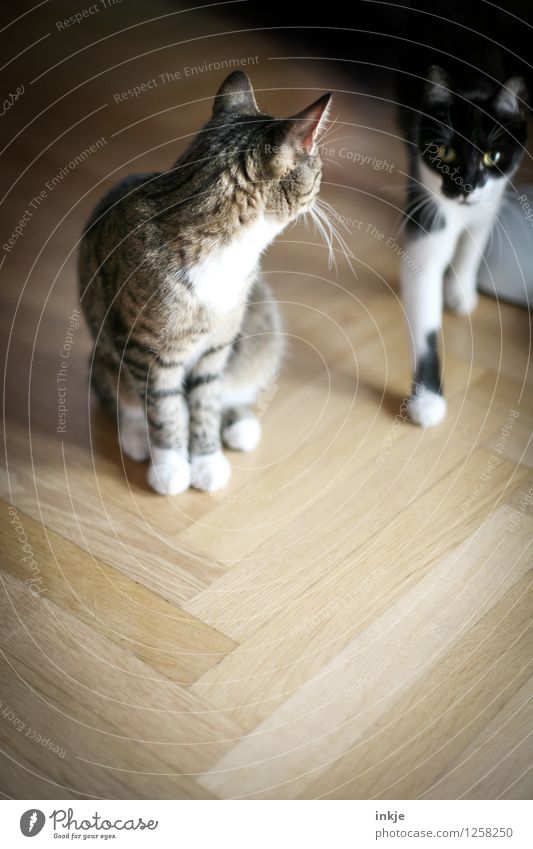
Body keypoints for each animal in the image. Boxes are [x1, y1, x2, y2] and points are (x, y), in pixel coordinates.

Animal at [79, 77, 330, 496]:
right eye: (318, 170)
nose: (322, 190)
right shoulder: (144, 348)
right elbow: (164, 407)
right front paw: (171, 465)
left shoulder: (218, 345)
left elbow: (206, 401)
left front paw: (207, 460)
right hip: (105, 355)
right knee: (116, 394)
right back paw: (136, 436)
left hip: (260, 319)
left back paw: (241, 426)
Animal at [400, 64, 528, 430]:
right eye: (444, 152)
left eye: (493, 156)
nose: (466, 186)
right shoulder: (429, 216)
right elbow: (426, 324)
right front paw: (428, 398)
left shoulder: (492, 202)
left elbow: (473, 245)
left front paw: (460, 291)